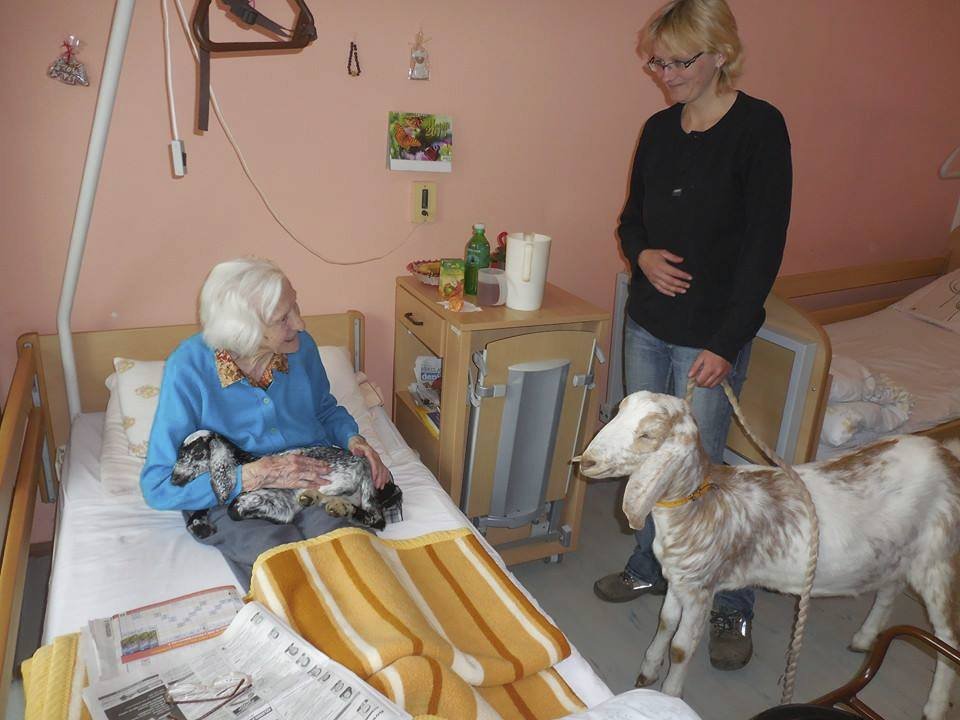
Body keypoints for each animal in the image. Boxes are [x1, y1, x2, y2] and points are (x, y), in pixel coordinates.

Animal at [576, 390, 960, 720]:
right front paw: (647, 672)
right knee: (891, 588)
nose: (588, 461)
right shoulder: (679, 580)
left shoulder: (702, 588)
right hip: (898, 551)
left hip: (938, 557)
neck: (701, 504)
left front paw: (669, 697)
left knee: (948, 637)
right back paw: (866, 637)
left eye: (647, 435)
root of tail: (945, 454)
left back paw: (935, 706)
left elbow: (682, 646)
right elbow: (666, 622)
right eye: (618, 412)